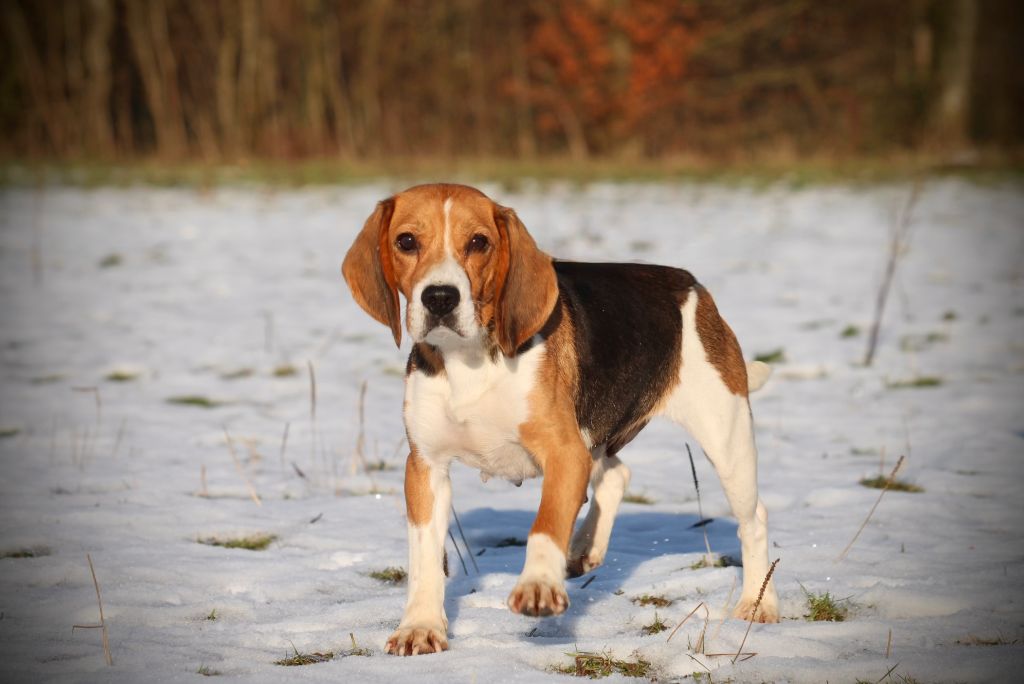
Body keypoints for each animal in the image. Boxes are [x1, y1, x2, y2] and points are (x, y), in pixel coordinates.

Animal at [342, 183, 779, 656]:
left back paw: (758, 605)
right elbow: (424, 558)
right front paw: (420, 627)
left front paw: (537, 586)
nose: (440, 297)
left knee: (754, 520)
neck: (468, 360)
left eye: (478, 242)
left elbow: (546, 522)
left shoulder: (564, 452)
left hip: (726, 439)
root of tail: (689, 283)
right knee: (617, 473)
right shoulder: (425, 467)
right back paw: (585, 548)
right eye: (406, 241)